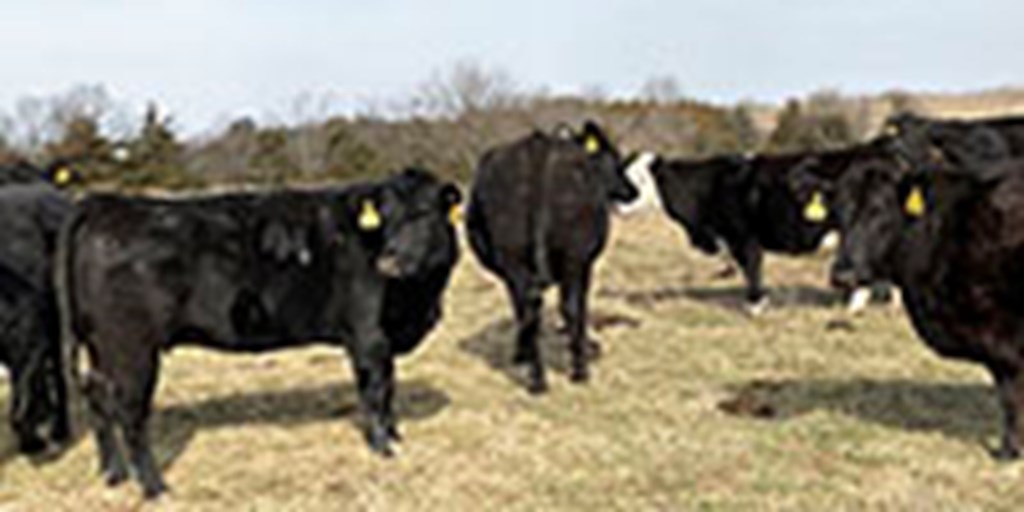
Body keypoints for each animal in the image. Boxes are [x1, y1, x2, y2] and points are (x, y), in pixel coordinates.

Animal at [61, 169, 462, 497]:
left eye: (424, 213)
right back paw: (154, 486)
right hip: (131, 348)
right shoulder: (369, 337)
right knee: (131, 410)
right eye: (385, 219)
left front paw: (395, 434)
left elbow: (389, 389)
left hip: (100, 347)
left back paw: (113, 473)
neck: (419, 298)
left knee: (97, 396)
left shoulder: (385, 342)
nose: (388, 260)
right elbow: (376, 392)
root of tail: (104, 204)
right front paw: (384, 448)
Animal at [466, 121, 638, 393]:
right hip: (573, 256)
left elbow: (517, 308)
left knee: (529, 308)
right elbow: (579, 306)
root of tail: (537, 147)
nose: (632, 191)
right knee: (569, 306)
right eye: (614, 159)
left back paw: (537, 379)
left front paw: (521, 353)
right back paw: (579, 371)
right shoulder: (586, 264)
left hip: (514, 257)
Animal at [831, 156, 1024, 460]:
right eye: (837, 211)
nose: (843, 274)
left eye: (879, 210)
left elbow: (1011, 393)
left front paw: (1010, 449)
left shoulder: (1001, 332)